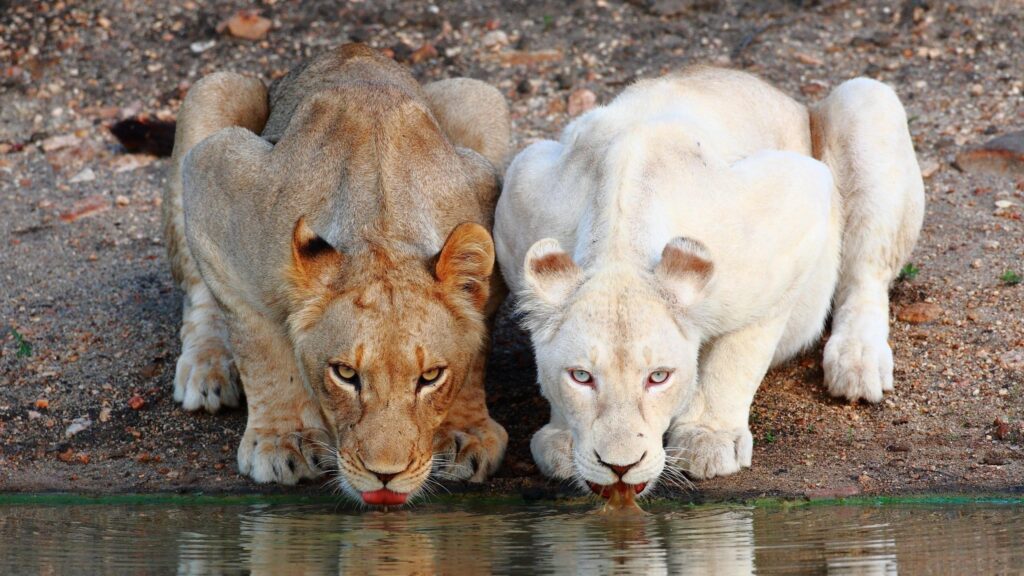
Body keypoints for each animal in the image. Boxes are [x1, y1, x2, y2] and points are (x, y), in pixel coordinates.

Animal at [162, 44, 509, 505]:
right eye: (345, 374)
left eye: (430, 377)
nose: (385, 475)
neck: (381, 226)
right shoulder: (215, 175)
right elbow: (260, 345)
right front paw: (283, 439)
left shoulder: (487, 198)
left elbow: (475, 350)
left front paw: (463, 432)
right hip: (215, 89)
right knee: (199, 294)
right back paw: (207, 370)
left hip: (478, 96)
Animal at [494, 67, 924, 496]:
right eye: (581, 376)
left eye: (658, 377)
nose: (620, 467)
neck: (619, 241)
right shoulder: (520, 189)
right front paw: (562, 439)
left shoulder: (797, 203)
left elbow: (738, 355)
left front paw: (708, 438)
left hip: (866, 101)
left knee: (866, 274)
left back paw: (858, 363)